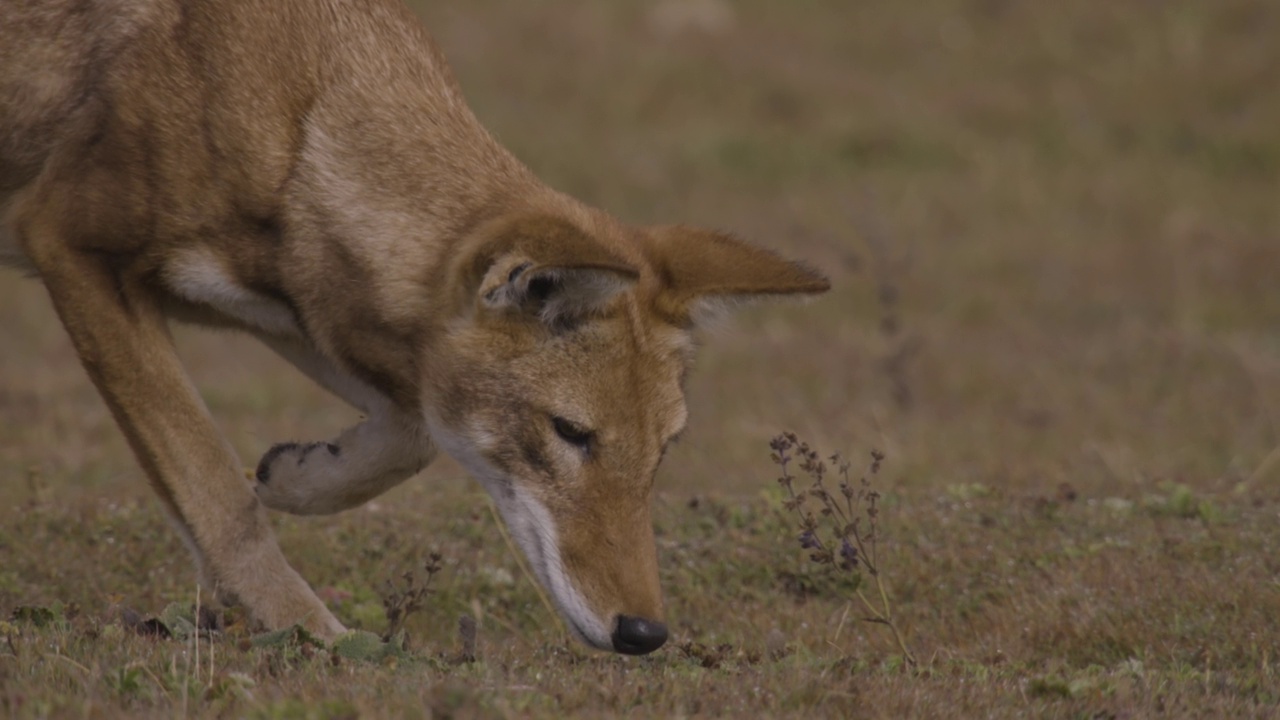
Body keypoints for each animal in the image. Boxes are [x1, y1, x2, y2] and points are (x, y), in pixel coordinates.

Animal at [0, 0, 824, 650]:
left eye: (665, 449)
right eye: (571, 433)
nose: (646, 633)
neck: (304, 124)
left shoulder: (318, 313)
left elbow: (410, 436)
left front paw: (297, 476)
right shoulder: (69, 249)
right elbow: (213, 486)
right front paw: (308, 632)